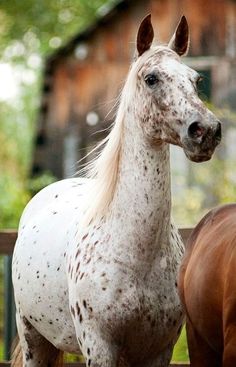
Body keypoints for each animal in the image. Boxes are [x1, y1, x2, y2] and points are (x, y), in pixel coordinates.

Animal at [11, 14, 221, 367]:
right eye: (151, 78)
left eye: (196, 80)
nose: (206, 131)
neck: (137, 255)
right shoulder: (99, 347)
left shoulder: (160, 349)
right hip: (32, 337)